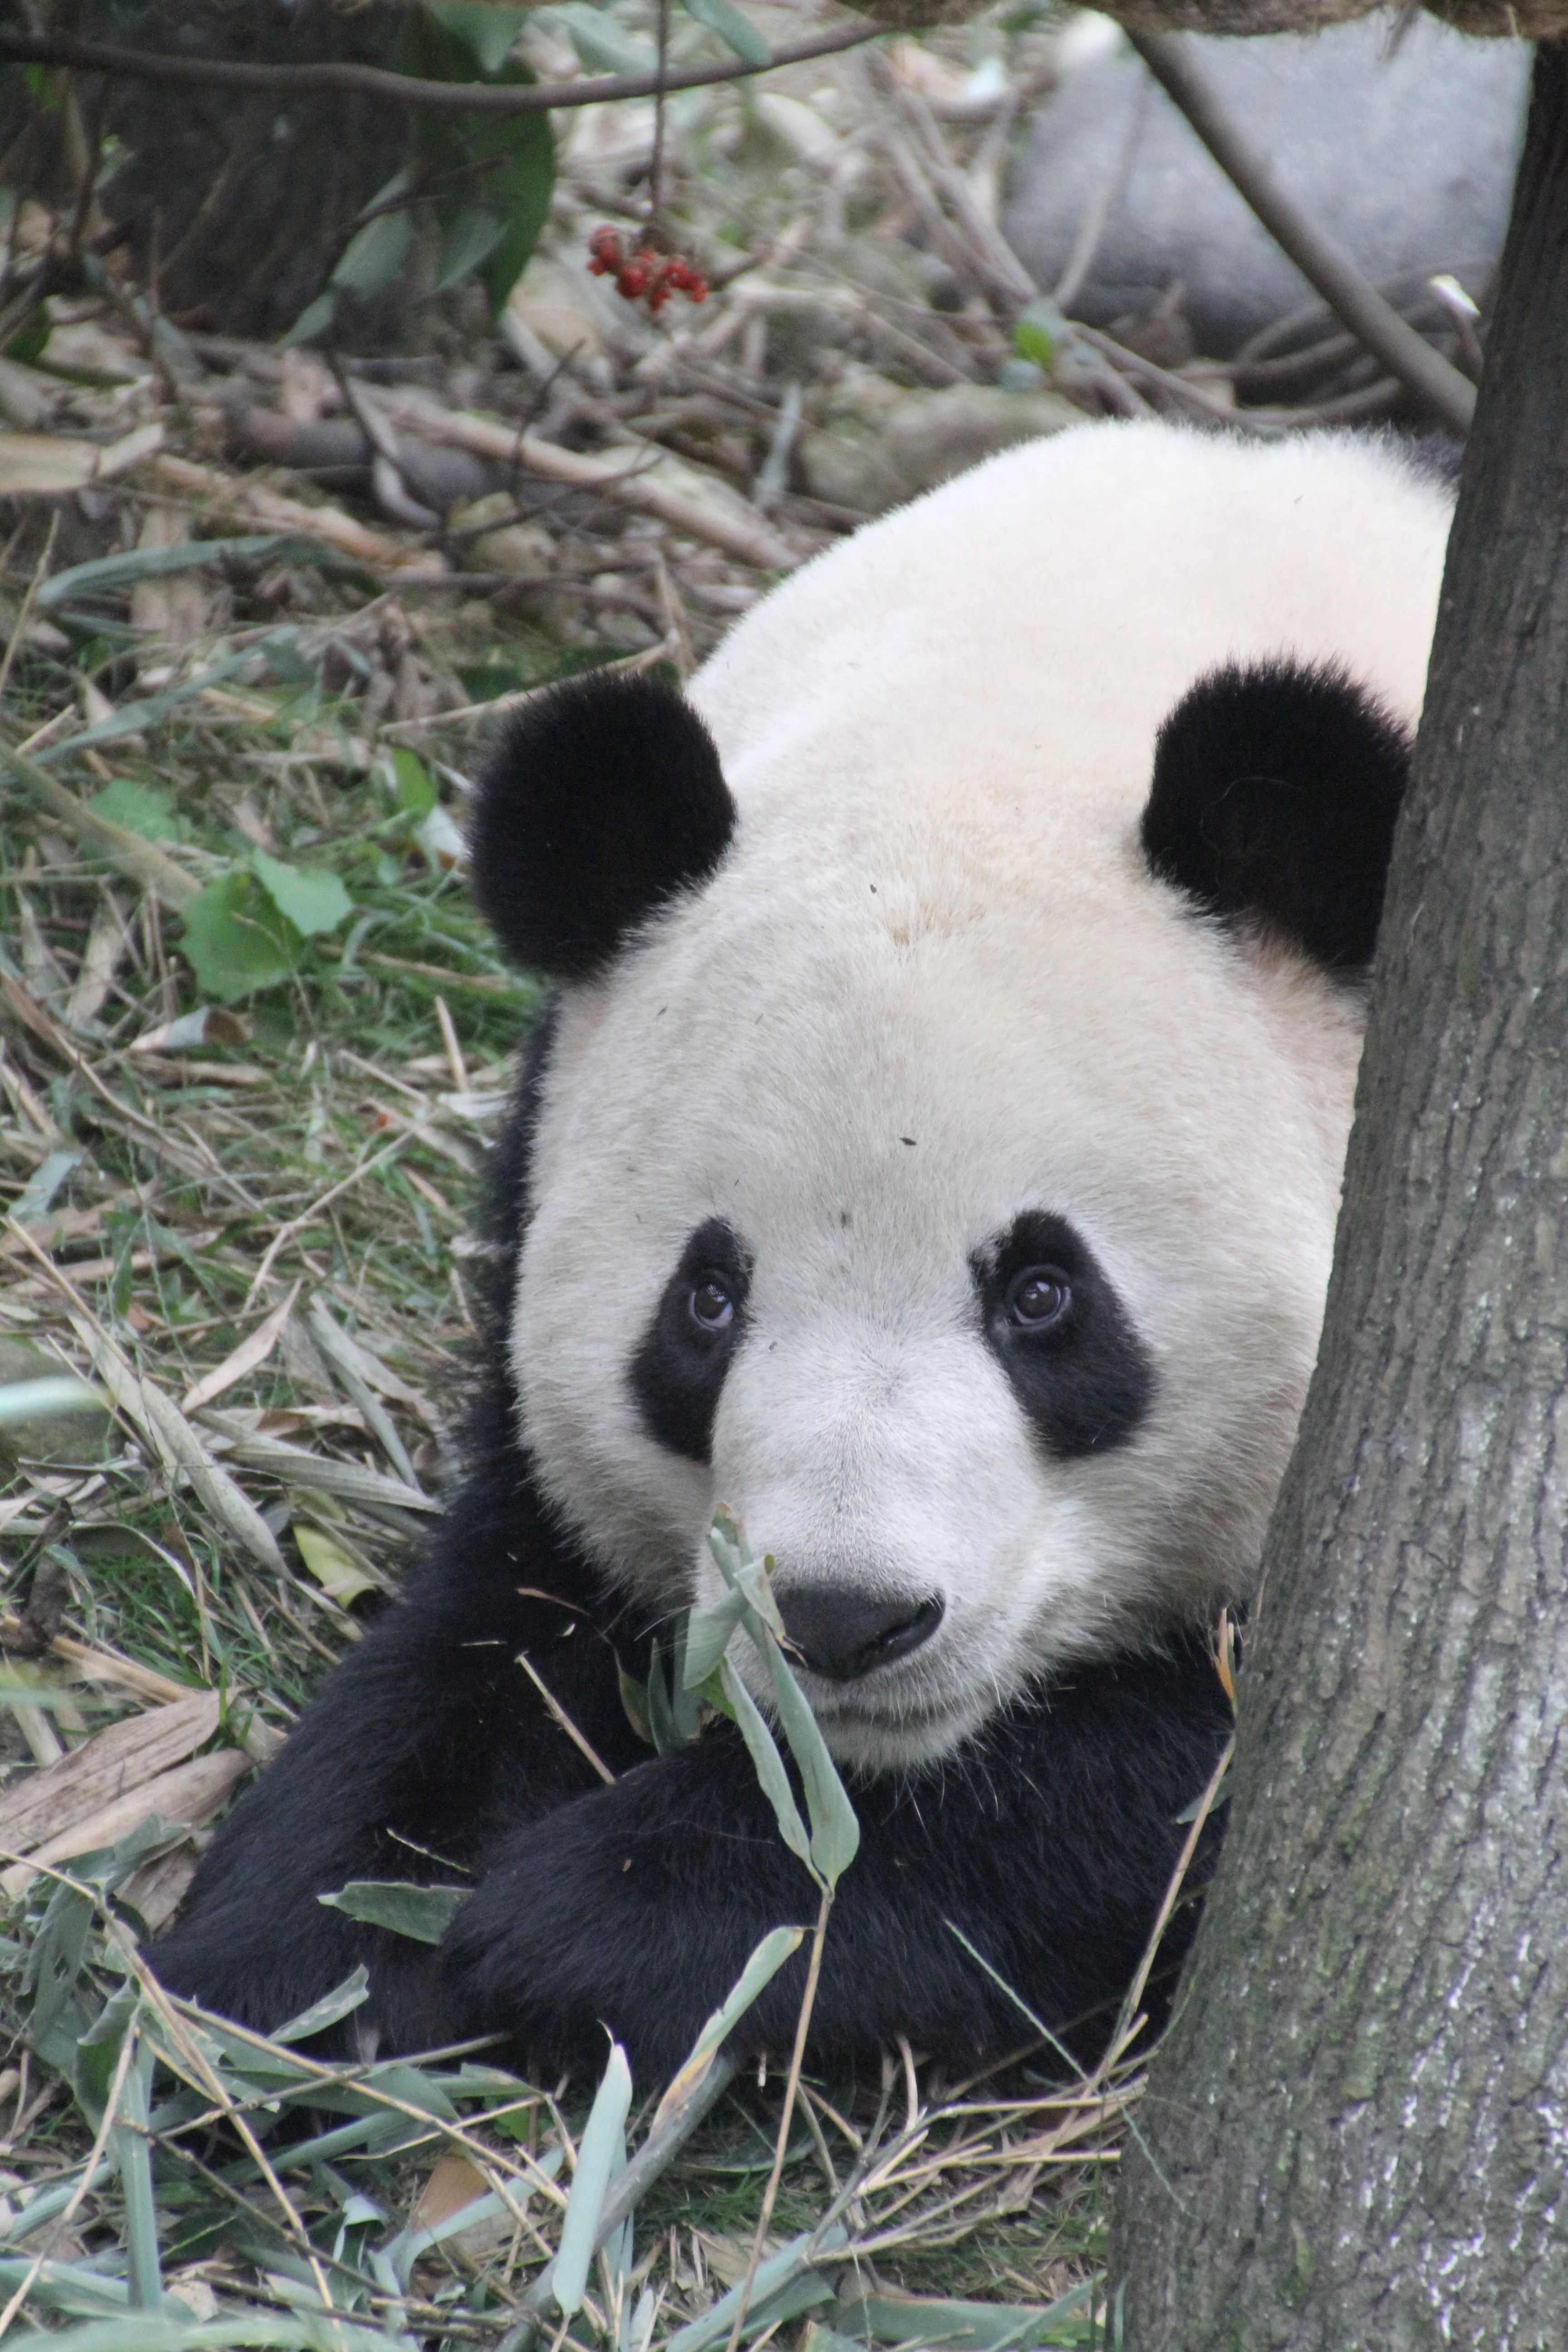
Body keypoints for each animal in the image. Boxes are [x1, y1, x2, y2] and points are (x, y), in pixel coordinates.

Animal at [155, 419, 1450, 2079]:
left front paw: (610, 1907)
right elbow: (494, 1626)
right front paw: (288, 1964)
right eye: (707, 1302)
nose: (845, 1620)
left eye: (1045, 1295)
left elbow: (1166, 1783)